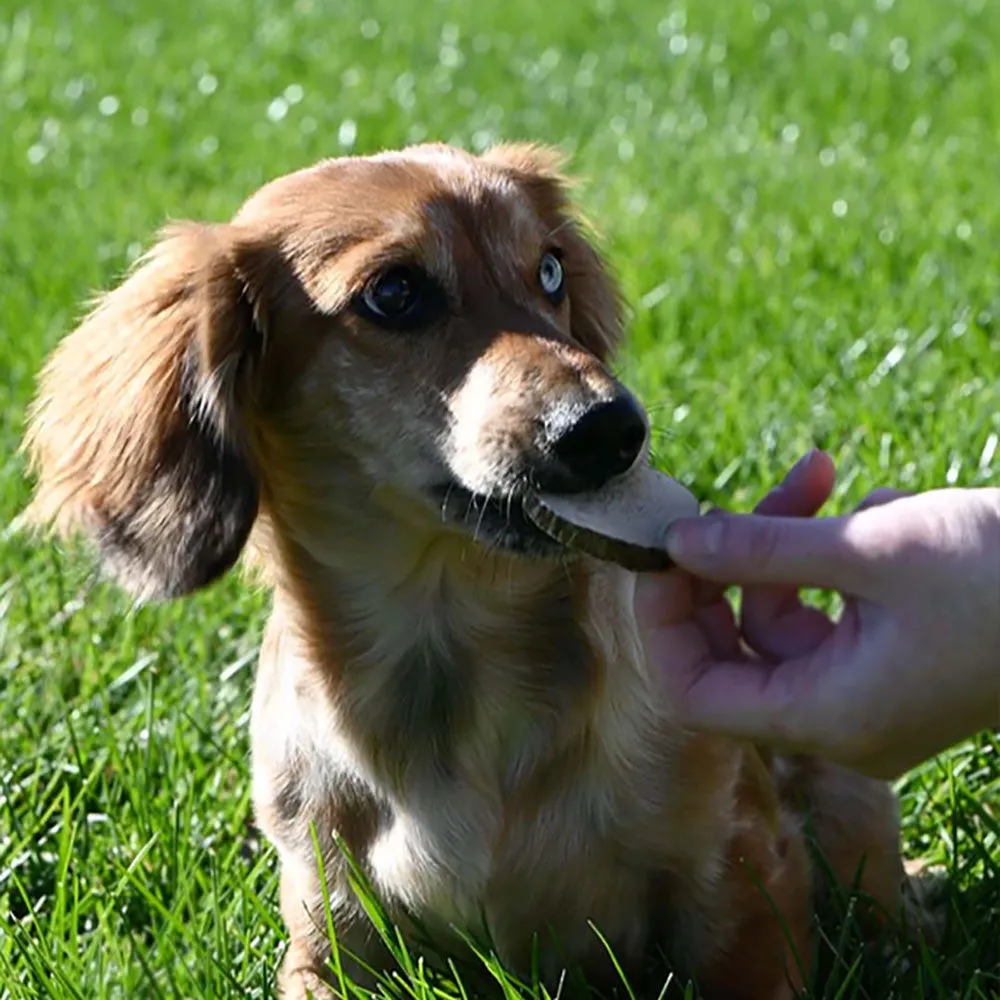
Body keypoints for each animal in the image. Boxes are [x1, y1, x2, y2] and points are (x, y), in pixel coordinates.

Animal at [19, 143, 932, 1000]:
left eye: (551, 269)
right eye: (394, 293)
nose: (612, 429)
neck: (453, 657)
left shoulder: (743, 873)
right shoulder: (325, 934)